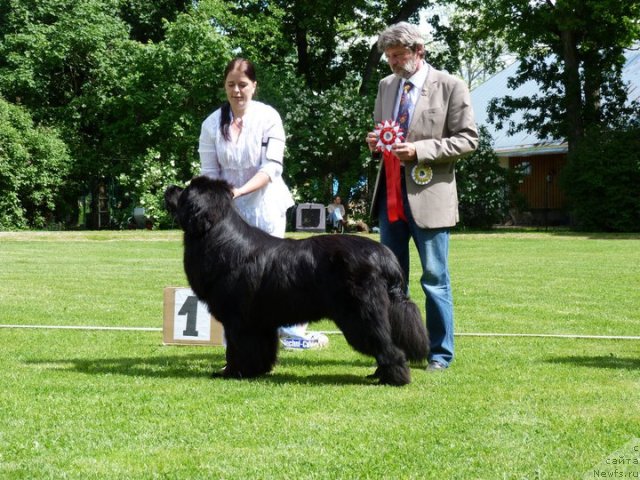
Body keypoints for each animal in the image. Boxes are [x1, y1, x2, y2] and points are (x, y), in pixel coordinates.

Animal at [164, 176, 430, 386]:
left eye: (186, 190)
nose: (169, 187)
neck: (218, 236)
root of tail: (384, 255)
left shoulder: (238, 319)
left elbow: (236, 348)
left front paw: (231, 372)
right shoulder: (260, 321)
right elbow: (261, 348)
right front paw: (257, 370)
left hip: (360, 315)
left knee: (388, 346)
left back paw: (393, 378)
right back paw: (379, 374)